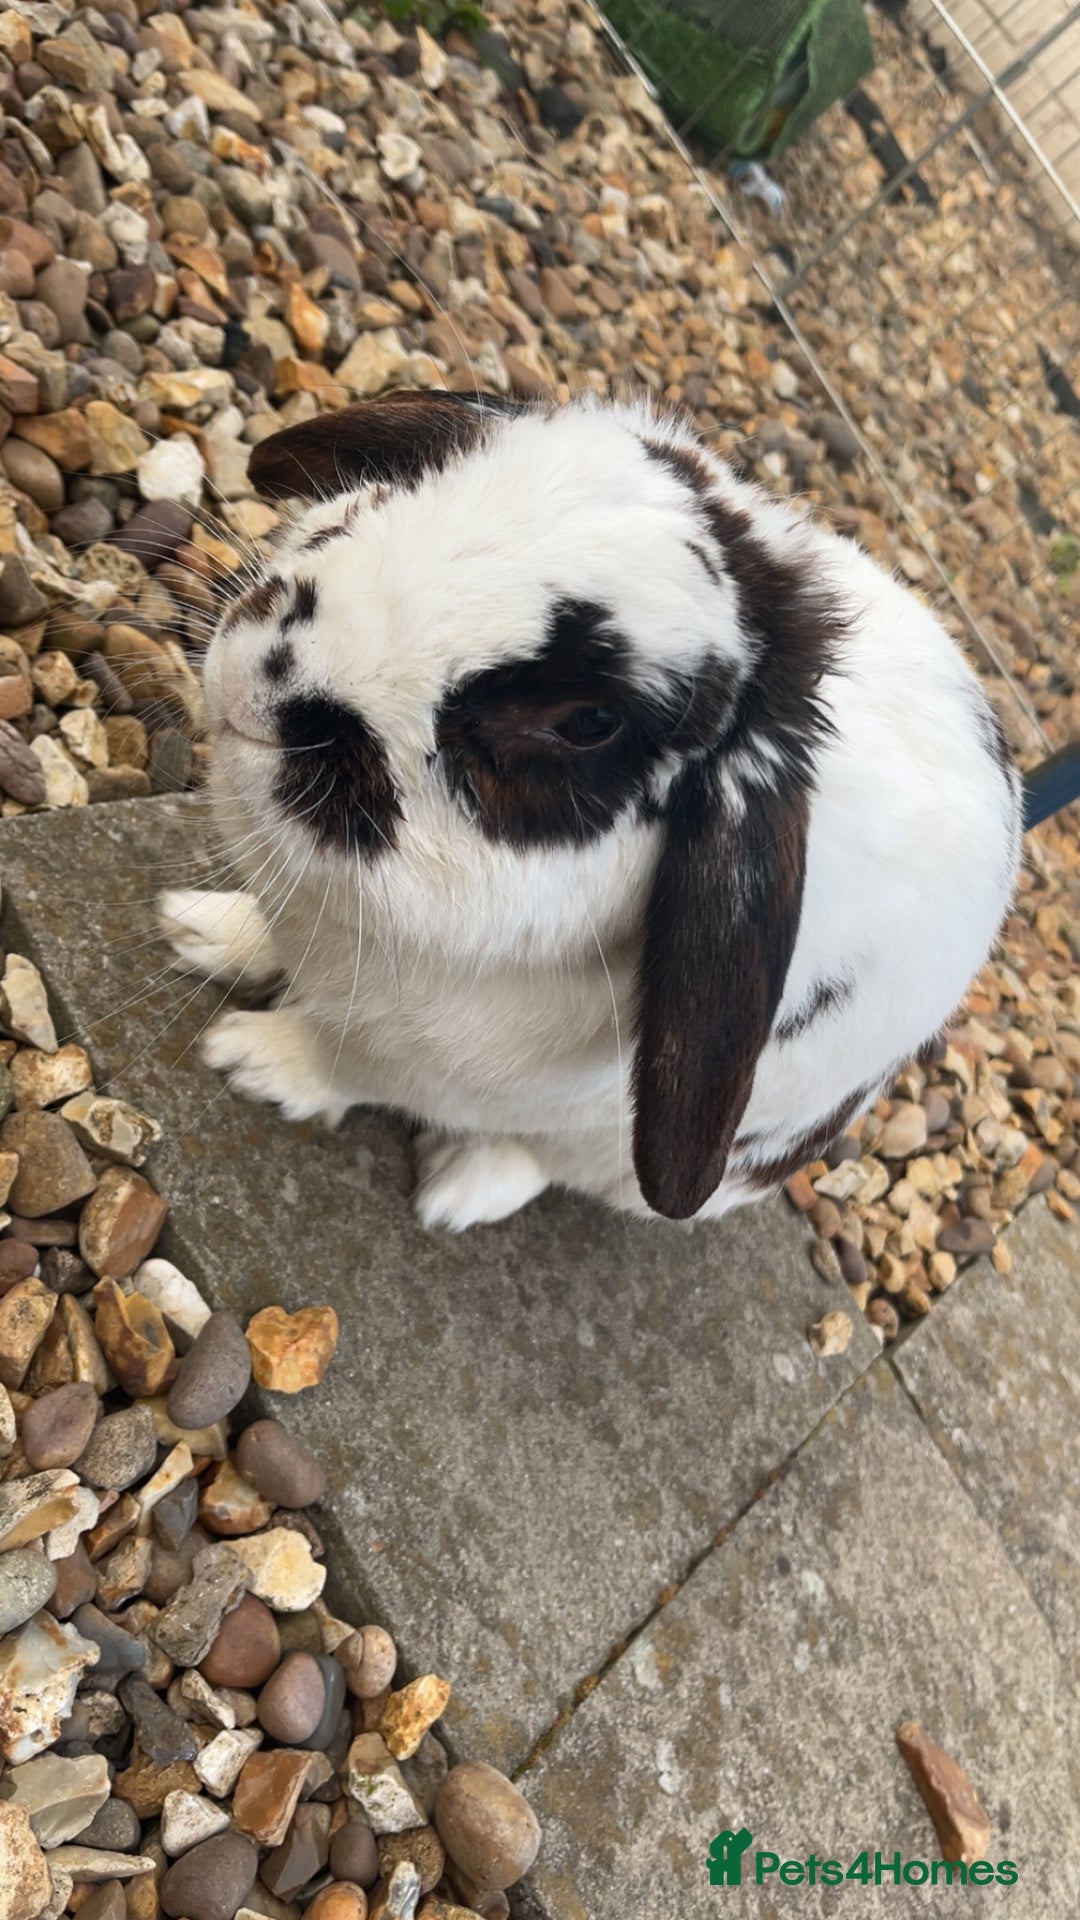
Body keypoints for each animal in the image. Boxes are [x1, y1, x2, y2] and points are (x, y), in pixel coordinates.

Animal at [159, 390, 1022, 1231]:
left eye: (588, 722)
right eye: (406, 485)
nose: (260, 680)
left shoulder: (424, 1065)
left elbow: (343, 1066)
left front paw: (251, 1058)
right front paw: (200, 930)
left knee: (543, 1165)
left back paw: (458, 1187)